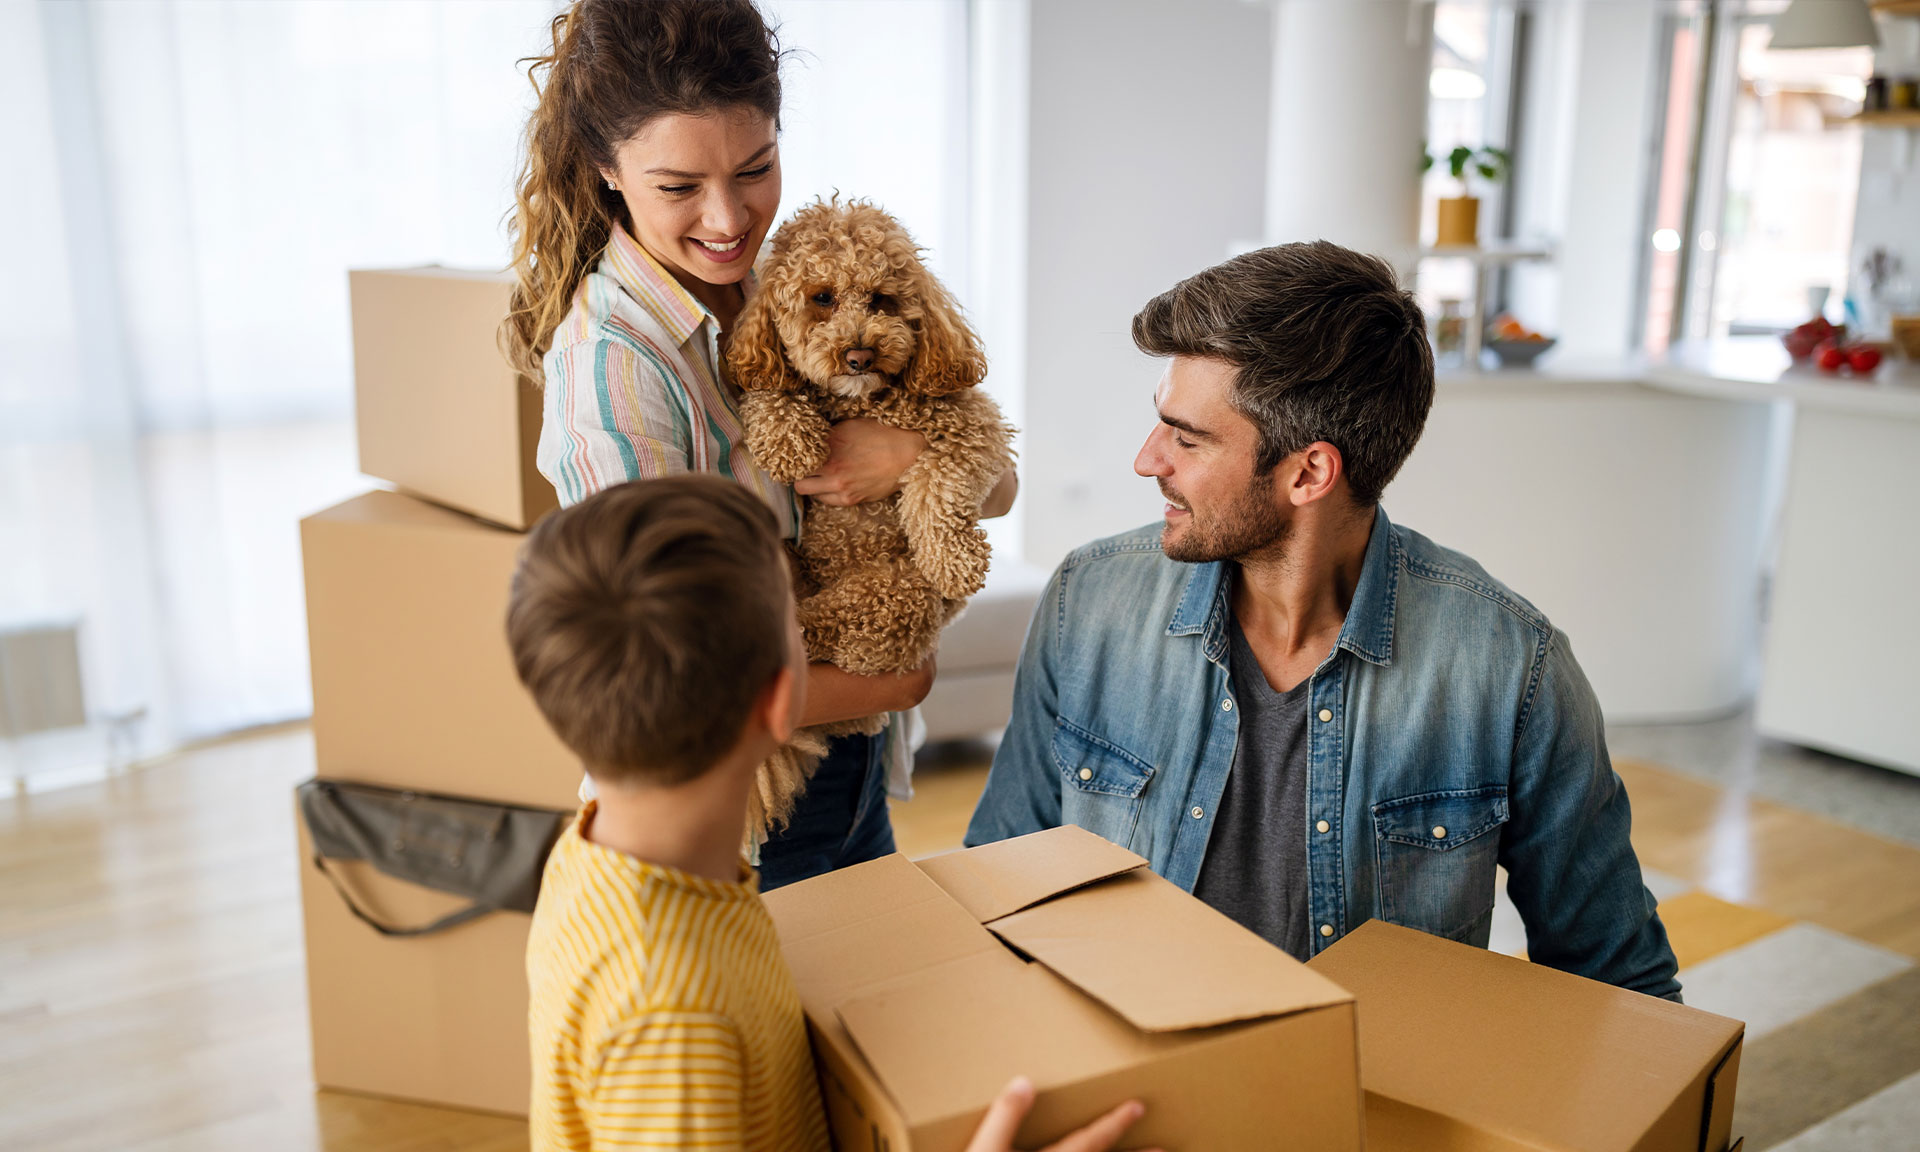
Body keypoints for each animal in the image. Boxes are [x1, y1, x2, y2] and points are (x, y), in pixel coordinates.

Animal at [721, 200, 1021, 837]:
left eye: (882, 299)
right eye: (823, 298)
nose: (860, 354)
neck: (862, 399)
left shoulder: (974, 428)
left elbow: (937, 484)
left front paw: (956, 560)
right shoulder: (765, 370)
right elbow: (769, 391)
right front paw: (790, 441)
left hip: (896, 592)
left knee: (830, 630)